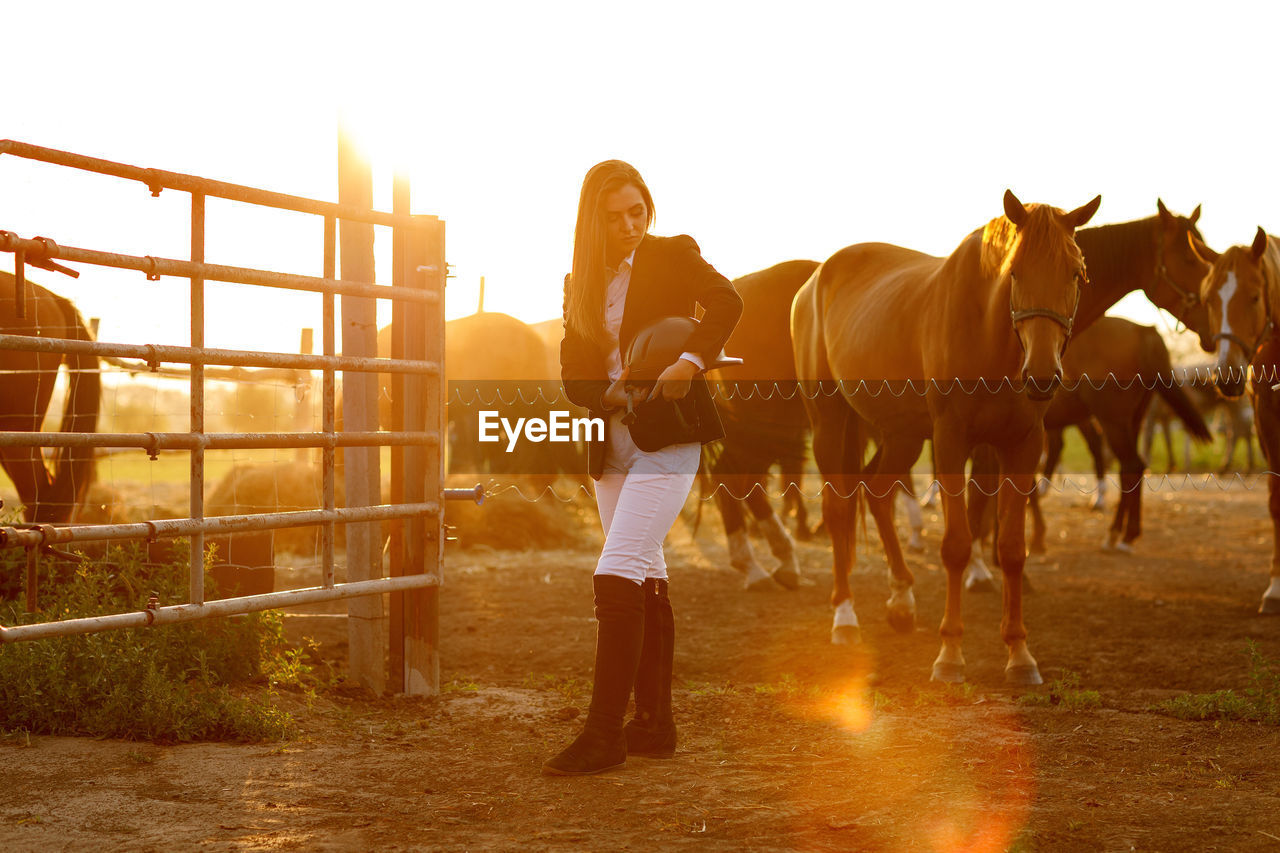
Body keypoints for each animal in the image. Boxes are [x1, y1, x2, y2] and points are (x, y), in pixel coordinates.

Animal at [788, 189, 1100, 681]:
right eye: (1015, 271)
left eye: (1076, 272)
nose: (1042, 375)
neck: (990, 337)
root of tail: (815, 279)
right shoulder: (951, 441)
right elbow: (956, 546)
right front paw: (950, 654)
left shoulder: (1023, 444)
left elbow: (1012, 549)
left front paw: (1019, 653)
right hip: (828, 420)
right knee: (839, 511)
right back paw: (845, 618)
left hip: (902, 434)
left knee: (877, 492)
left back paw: (901, 600)